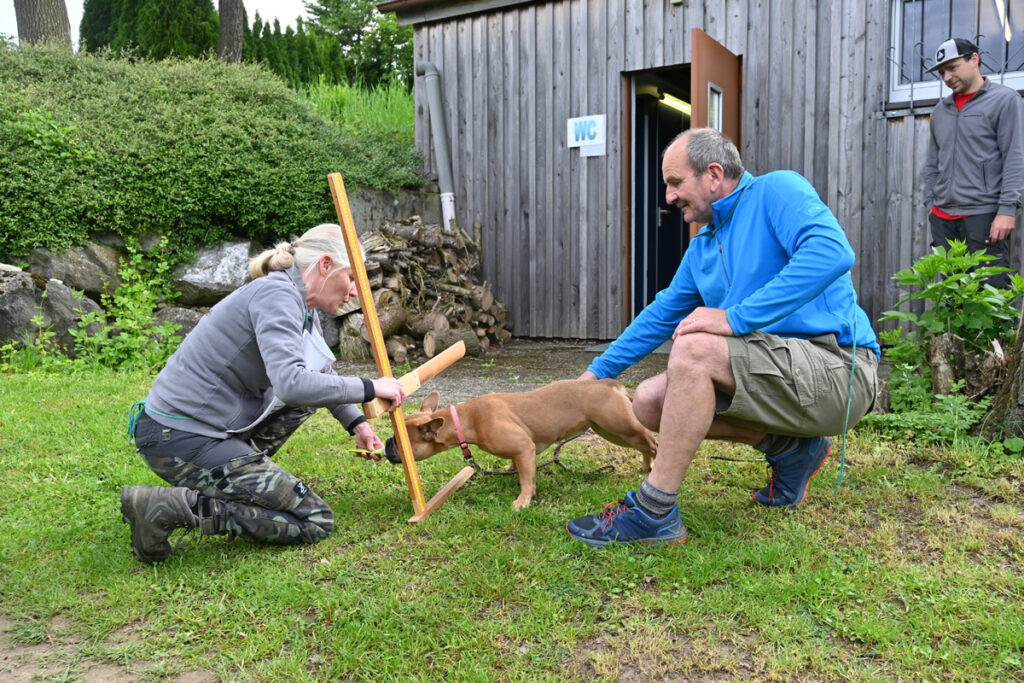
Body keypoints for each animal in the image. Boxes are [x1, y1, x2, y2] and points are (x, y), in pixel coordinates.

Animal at [384, 379, 658, 509]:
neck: (464, 420)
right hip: (608, 430)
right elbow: (520, 466)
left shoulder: (524, 446)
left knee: (651, 441)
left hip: (620, 427)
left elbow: (527, 478)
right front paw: (511, 471)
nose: (385, 444)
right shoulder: (520, 451)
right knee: (644, 446)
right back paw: (646, 466)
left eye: (398, 440)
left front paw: (523, 500)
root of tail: (609, 384)